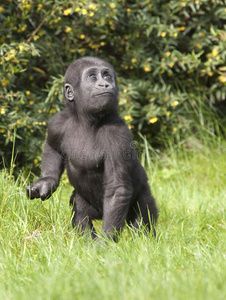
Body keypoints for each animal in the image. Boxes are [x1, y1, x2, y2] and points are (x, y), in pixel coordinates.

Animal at [26, 56, 158, 241]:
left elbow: (117, 189)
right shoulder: (58, 123)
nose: (105, 84)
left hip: (142, 195)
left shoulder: (117, 135)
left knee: (142, 218)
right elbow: (52, 147)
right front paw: (47, 181)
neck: (86, 119)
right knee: (81, 213)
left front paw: (106, 242)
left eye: (107, 75)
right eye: (92, 77)